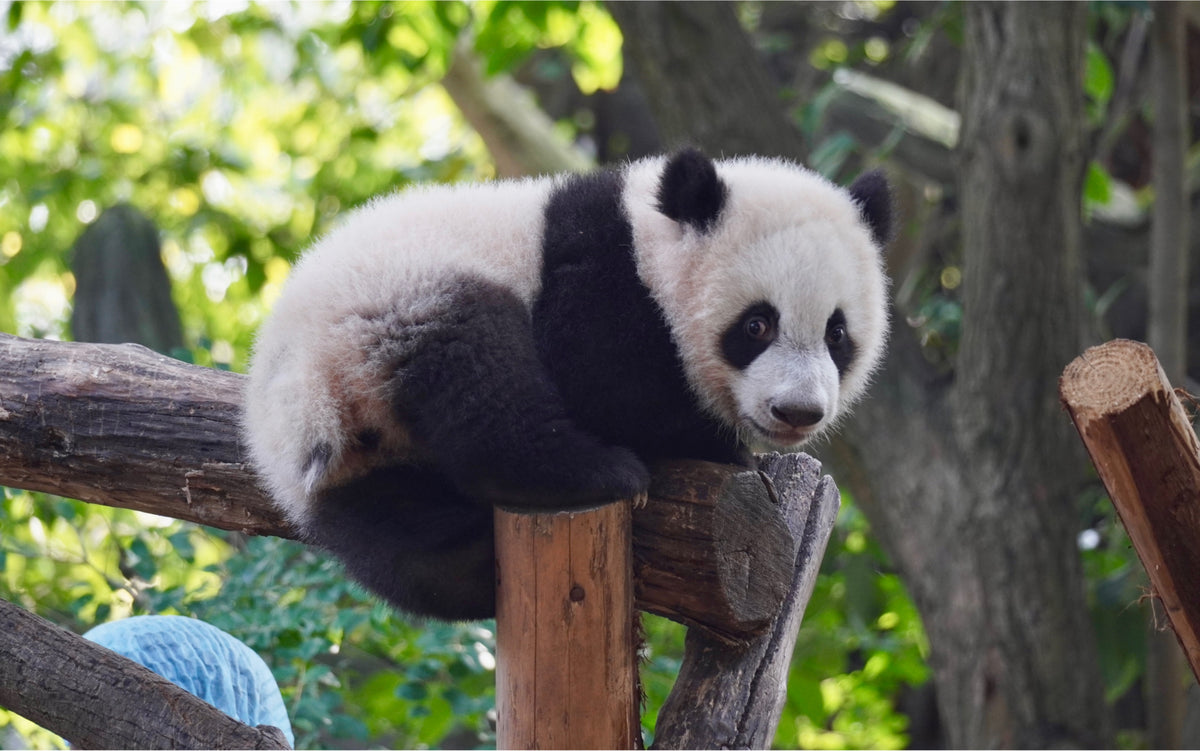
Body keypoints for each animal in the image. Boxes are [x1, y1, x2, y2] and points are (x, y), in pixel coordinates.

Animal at [243, 149, 891, 621]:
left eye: (837, 334)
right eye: (757, 325)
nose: (798, 411)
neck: (651, 241)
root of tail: (289, 410)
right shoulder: (599, 277)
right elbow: (604, 380)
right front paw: (727, 453)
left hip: (354, 463)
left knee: (396, 538)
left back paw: (466, 561)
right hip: (397, 308)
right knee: (483, 385)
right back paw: (597, 471)